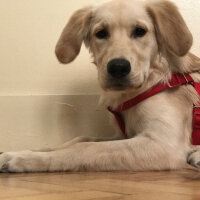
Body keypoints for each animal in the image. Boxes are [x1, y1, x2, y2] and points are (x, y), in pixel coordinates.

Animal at [0, 0, 200, 172]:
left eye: (140, 31)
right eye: (101, 33)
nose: (118, 67)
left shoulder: (164, 144)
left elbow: (84, 147)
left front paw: (23, 159)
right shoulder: (121, 136)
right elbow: (79, 139)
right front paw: (24, 152)